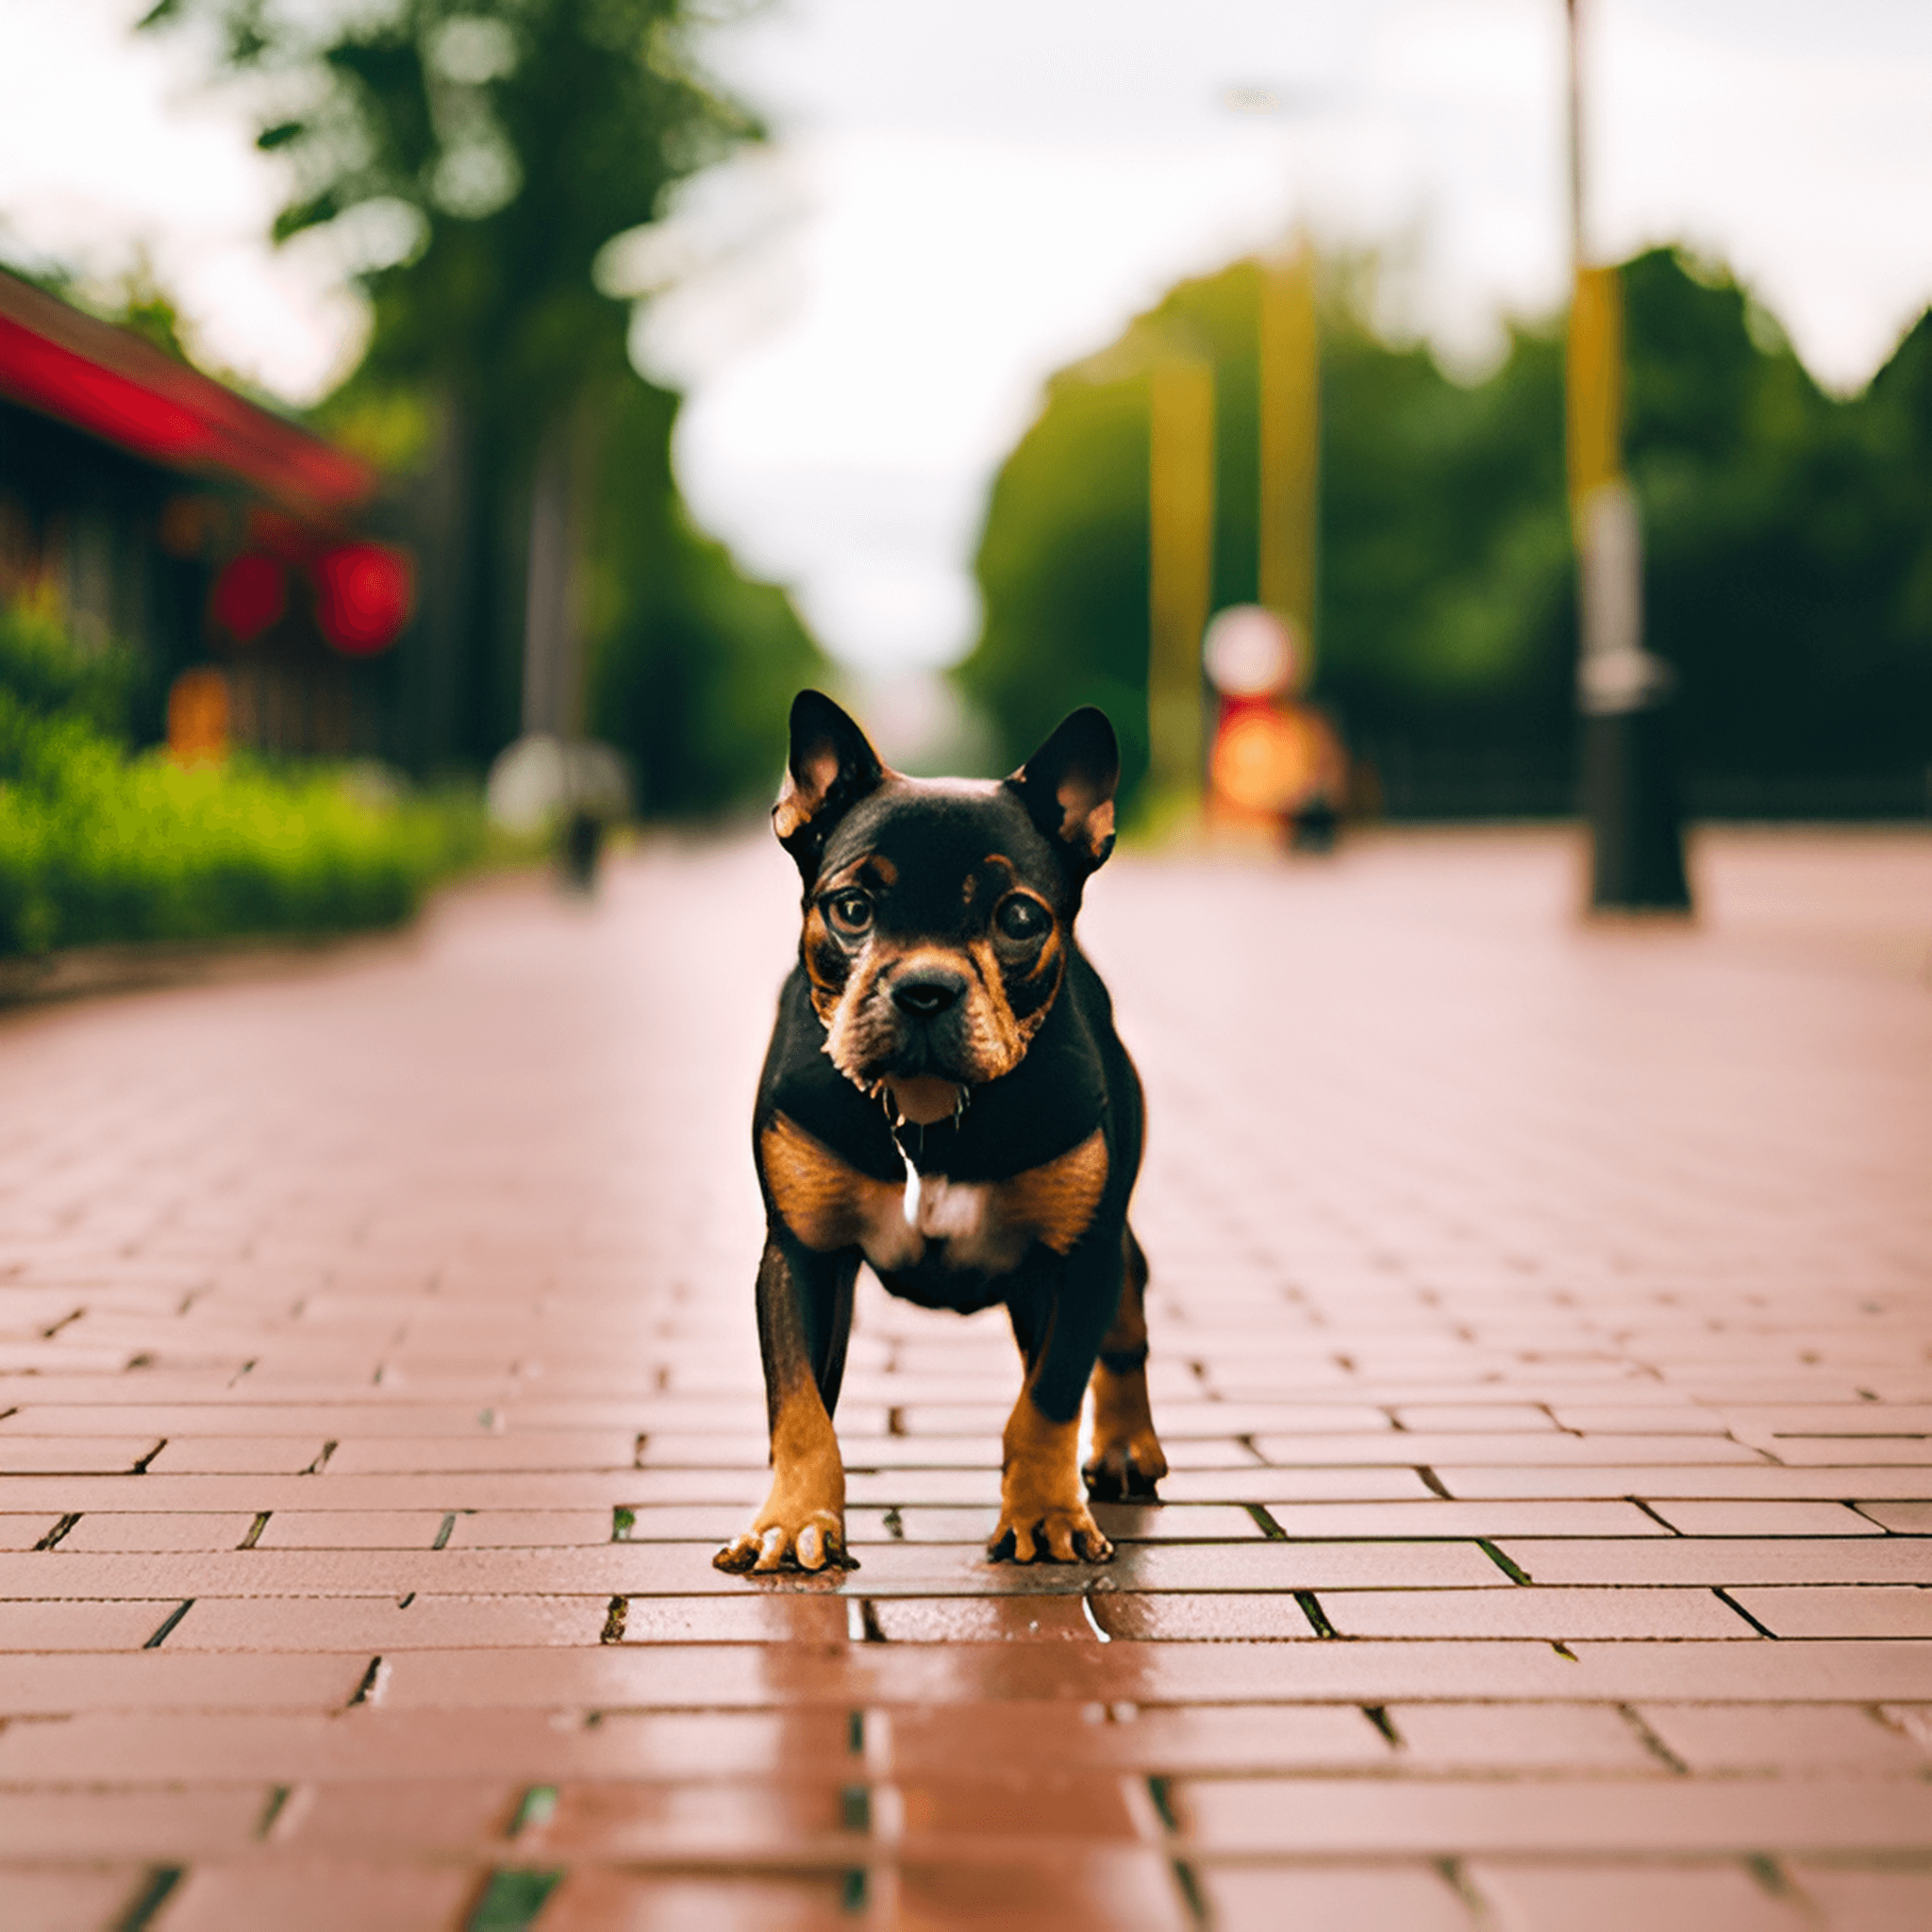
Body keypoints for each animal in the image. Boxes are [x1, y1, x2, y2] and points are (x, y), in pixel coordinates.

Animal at [718, 691, 1166, 1568]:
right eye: (852, 910)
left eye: (1019, 917)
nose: (925, 987)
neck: (928, 1109)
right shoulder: (800, 1256)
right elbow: (799, 1404)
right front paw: (794, 1520)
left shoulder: (1078, 1258)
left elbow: (1050, 1397)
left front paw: (1046, 1514)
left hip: (1109, 1238)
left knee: (1125, 1327)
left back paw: (1128, 1449)